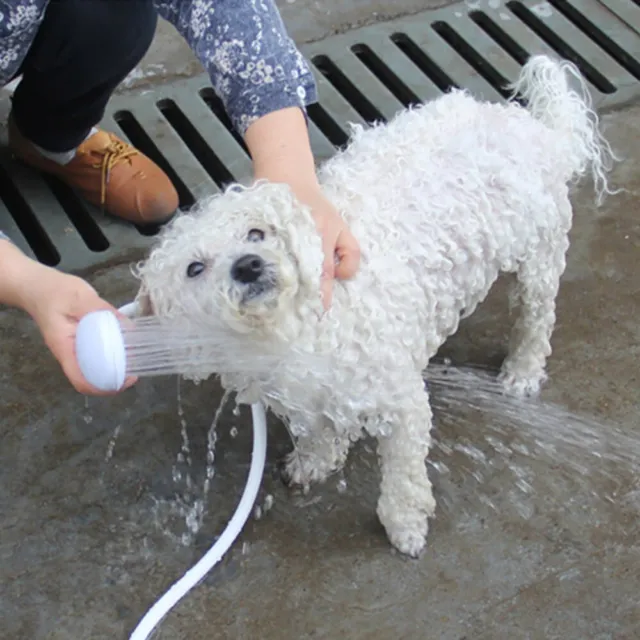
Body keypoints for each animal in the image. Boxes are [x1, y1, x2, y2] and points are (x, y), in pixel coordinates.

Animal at [134, 56, 616, 556]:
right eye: (194, 268)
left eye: (256, 232)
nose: (248, 265)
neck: (293, 331)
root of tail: (534, 130)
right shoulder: (306, 396)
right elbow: (320, 432)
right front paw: (315, 461)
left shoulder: (400, 400)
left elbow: (403, 477)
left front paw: (405, 525)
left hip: (539, 254)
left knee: (537, 317)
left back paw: (521, 370)